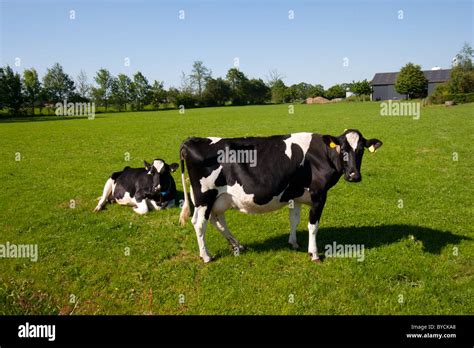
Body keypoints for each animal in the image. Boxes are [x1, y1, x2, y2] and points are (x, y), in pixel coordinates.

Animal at [180, 129, 384, 262]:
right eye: (343, 149)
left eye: (360, 150)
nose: (354, 176)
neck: (321, 155)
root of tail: (191, 140)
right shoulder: (319, 195)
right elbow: (313, 226)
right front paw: (314, 254)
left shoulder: (297, 195)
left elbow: (294, 220)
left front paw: (294, 243)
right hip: (204, 197)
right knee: (199, 224)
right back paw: (206, 256)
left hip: (219, 199)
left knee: (218, 221)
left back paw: (238, 245)